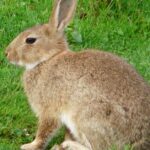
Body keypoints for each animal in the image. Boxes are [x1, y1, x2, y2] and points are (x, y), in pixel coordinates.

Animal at [4, 0, 150, 150]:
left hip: (89, 116)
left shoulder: (49, 109)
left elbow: (44, 132)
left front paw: (29, 146)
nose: (7, 53)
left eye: (30, 40)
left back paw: (68, 145)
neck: (48, 59)